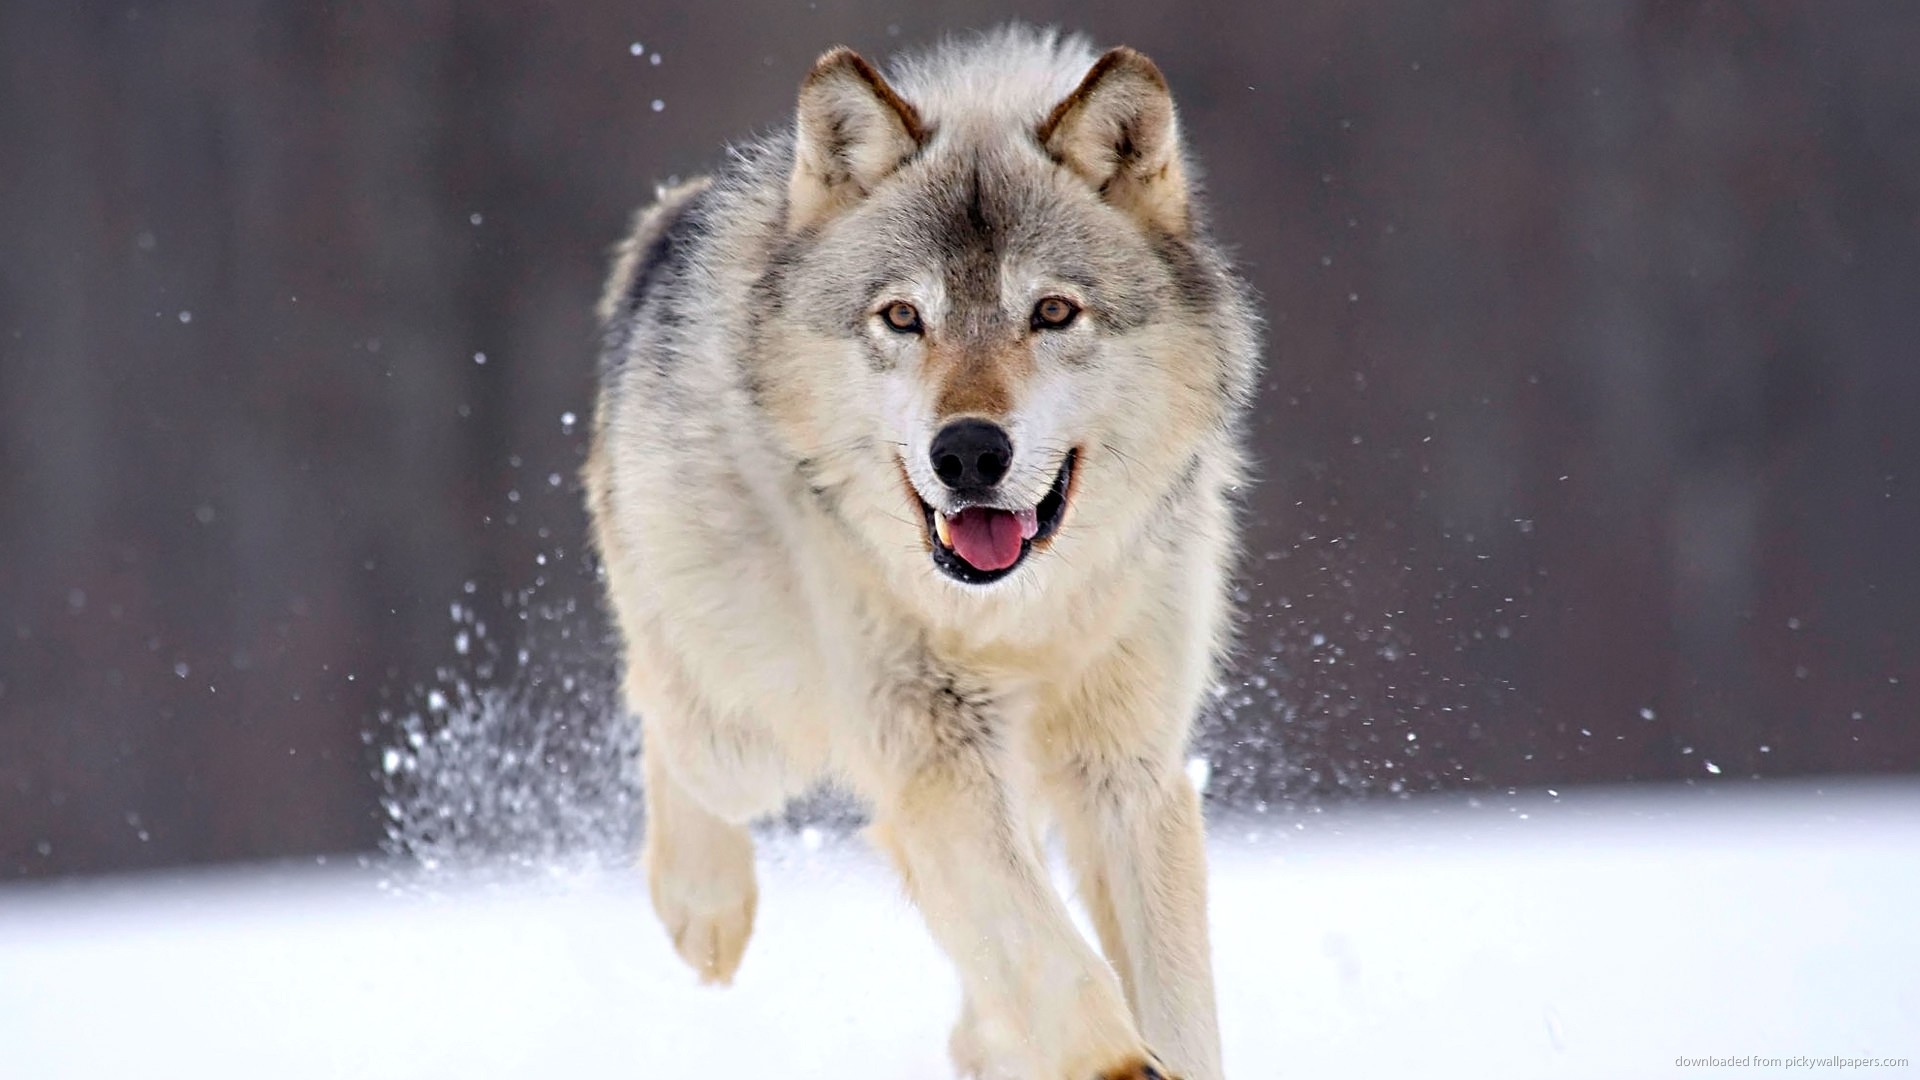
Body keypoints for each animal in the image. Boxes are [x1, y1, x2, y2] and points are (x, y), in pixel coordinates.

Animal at [584, 26, 1258, 1080]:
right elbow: (1057, 965)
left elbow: (1171, 1002)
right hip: (751, 728)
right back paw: (706, 910)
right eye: (903, 317)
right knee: (664, 716)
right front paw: (1112, 1059)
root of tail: (668, 221)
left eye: (1053, 313)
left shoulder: (1128, 769)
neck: (1016, 615)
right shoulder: (933, 752)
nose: (969, 452)